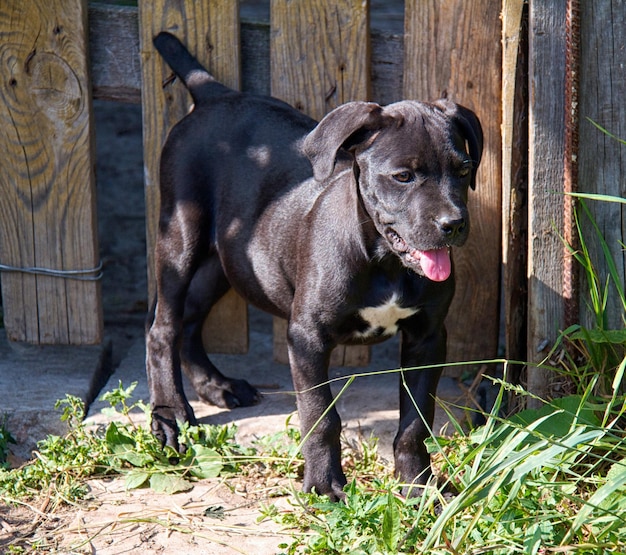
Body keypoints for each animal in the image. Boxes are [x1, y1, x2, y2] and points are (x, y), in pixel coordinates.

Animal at [147, 32, 482, 502]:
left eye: (464, 169)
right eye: (403, 176)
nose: (453, 224)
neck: (384, 262)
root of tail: (216, 93)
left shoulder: (428, 337)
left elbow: (415, 422)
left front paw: (419, 486)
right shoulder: (307, 338)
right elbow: (320, 416)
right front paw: (324, 486)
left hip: (229, 259)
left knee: (191, 318)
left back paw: (216, 384)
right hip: (180, 234)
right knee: (164, 326)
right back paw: (171, 414)